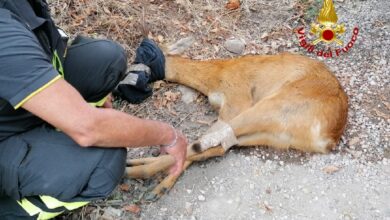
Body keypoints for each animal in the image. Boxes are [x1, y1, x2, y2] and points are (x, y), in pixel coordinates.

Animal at [124, 38, 348, 200]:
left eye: (139, 57)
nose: (123, 83)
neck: (216, 77)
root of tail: (328, 137)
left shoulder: (236, 100)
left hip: (272, 107)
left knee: (206, 143)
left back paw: (137, 173)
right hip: (274, 134)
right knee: (218, 145)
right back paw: (143, 173)